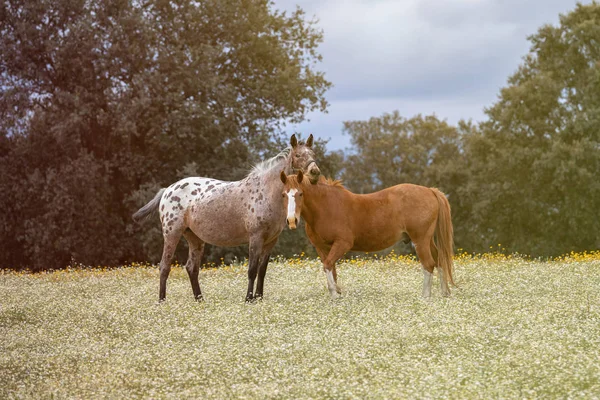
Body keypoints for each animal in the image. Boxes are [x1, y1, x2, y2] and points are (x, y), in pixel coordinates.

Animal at [134, 136, 322, 302]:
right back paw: (162, 301)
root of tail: (167, 190)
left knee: (191, 268)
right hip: (172, 233)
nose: (315, 172)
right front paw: (249, 299)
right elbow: (252, 270)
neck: (267, 191)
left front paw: (259, 298)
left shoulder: (270, 241)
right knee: (164, 267)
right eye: (298, 155)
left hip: (195, 238)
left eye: (313, 153)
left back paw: (200, 300)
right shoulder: (255, 238)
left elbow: (262, 270)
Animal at [282, 170, 454, 298]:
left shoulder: (343, 244)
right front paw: (337, 292)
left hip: (420, 240)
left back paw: (425, 297)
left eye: (300, 194)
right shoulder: (322, 248)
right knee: (439, 260)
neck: (325, 207)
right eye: (283, 194)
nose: (291, 221)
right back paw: (444, 293)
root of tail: (430, 191)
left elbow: (328, 265)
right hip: (427, 240)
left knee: (429, 264)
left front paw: (335, 295)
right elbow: (331, 269)